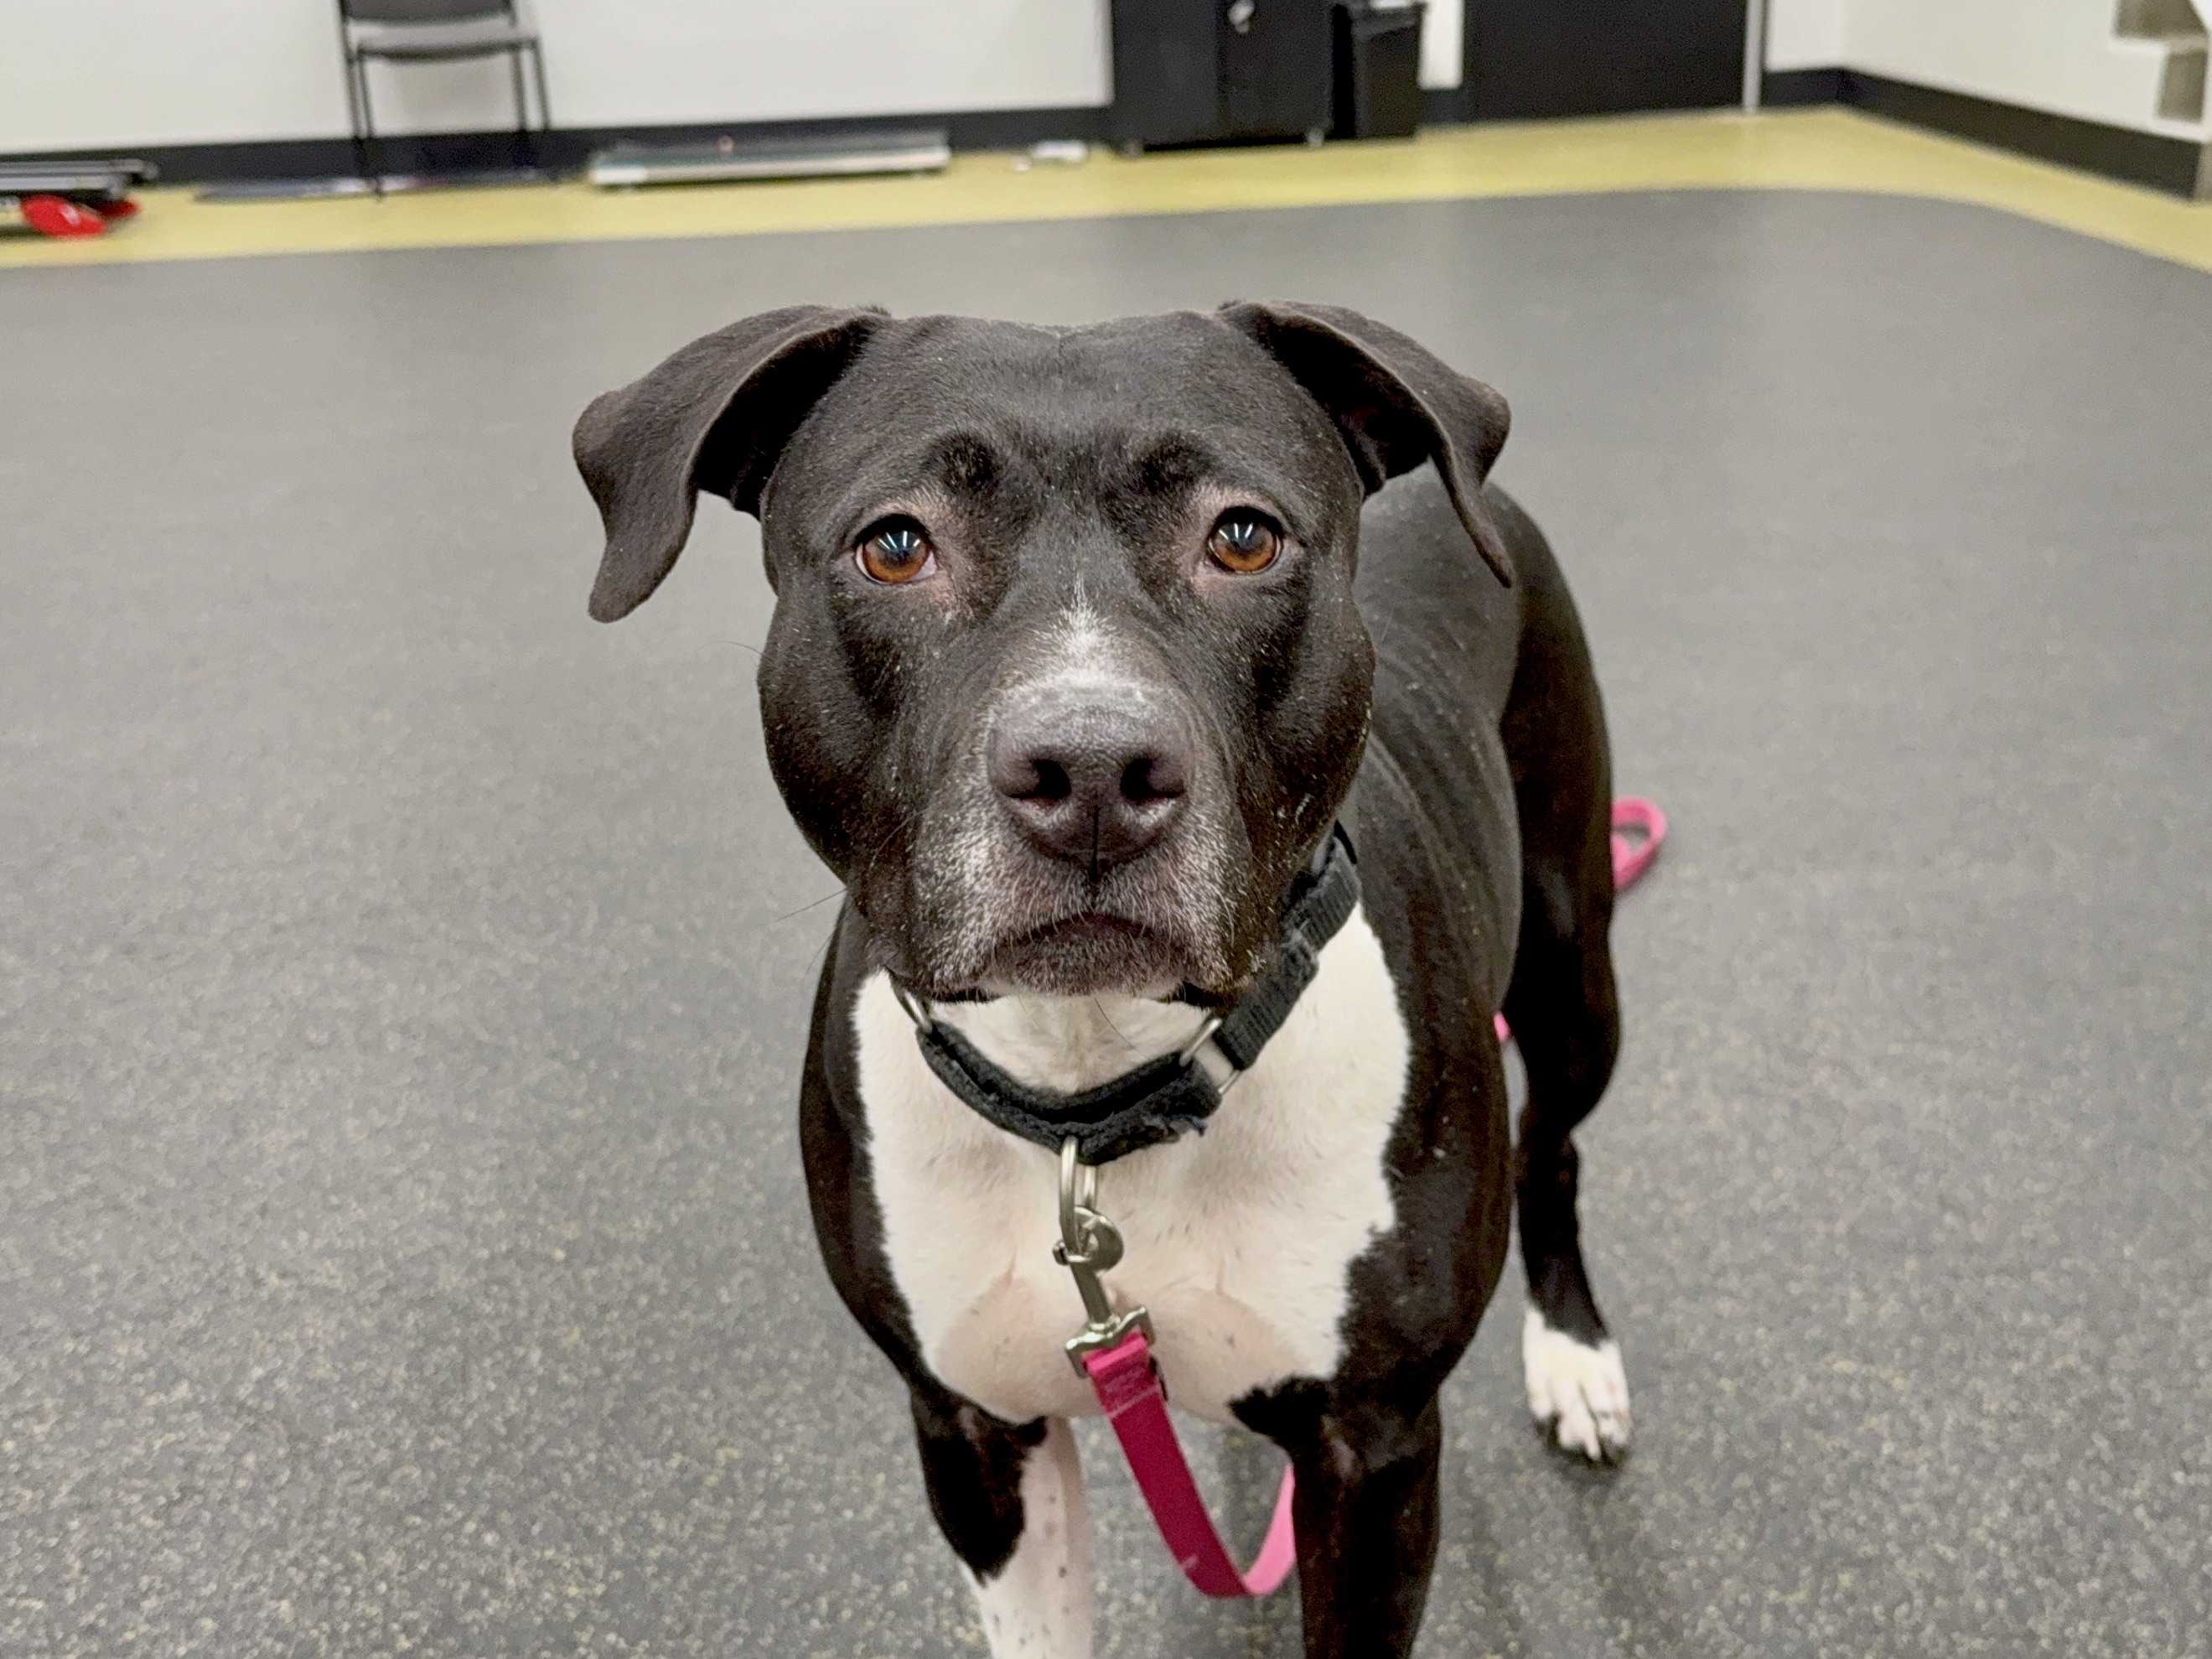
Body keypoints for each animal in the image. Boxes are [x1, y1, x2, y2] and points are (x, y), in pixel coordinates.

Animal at [579, 305, 1636, 1654]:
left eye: (1243, 536)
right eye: (894, 545)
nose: (1088, 767)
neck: (1094, 1086)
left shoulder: (1378, 1452)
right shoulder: (975, 1432)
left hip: (1570, 966)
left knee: (1554, 1140)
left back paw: (1573, 1356)